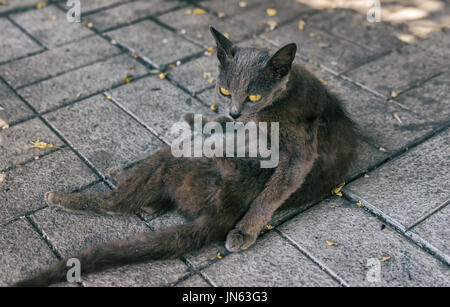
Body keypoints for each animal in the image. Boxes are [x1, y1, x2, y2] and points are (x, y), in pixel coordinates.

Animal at [14, 27, 356, 288]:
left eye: (254, 96)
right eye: (223, 91)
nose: (234, 111)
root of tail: (220, 212)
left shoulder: (296, 152)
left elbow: (272, 191)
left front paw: (245, 231)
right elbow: (220, 124)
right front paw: (201, 118)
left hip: (175, 162)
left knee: (118, 202)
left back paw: (69, 195)